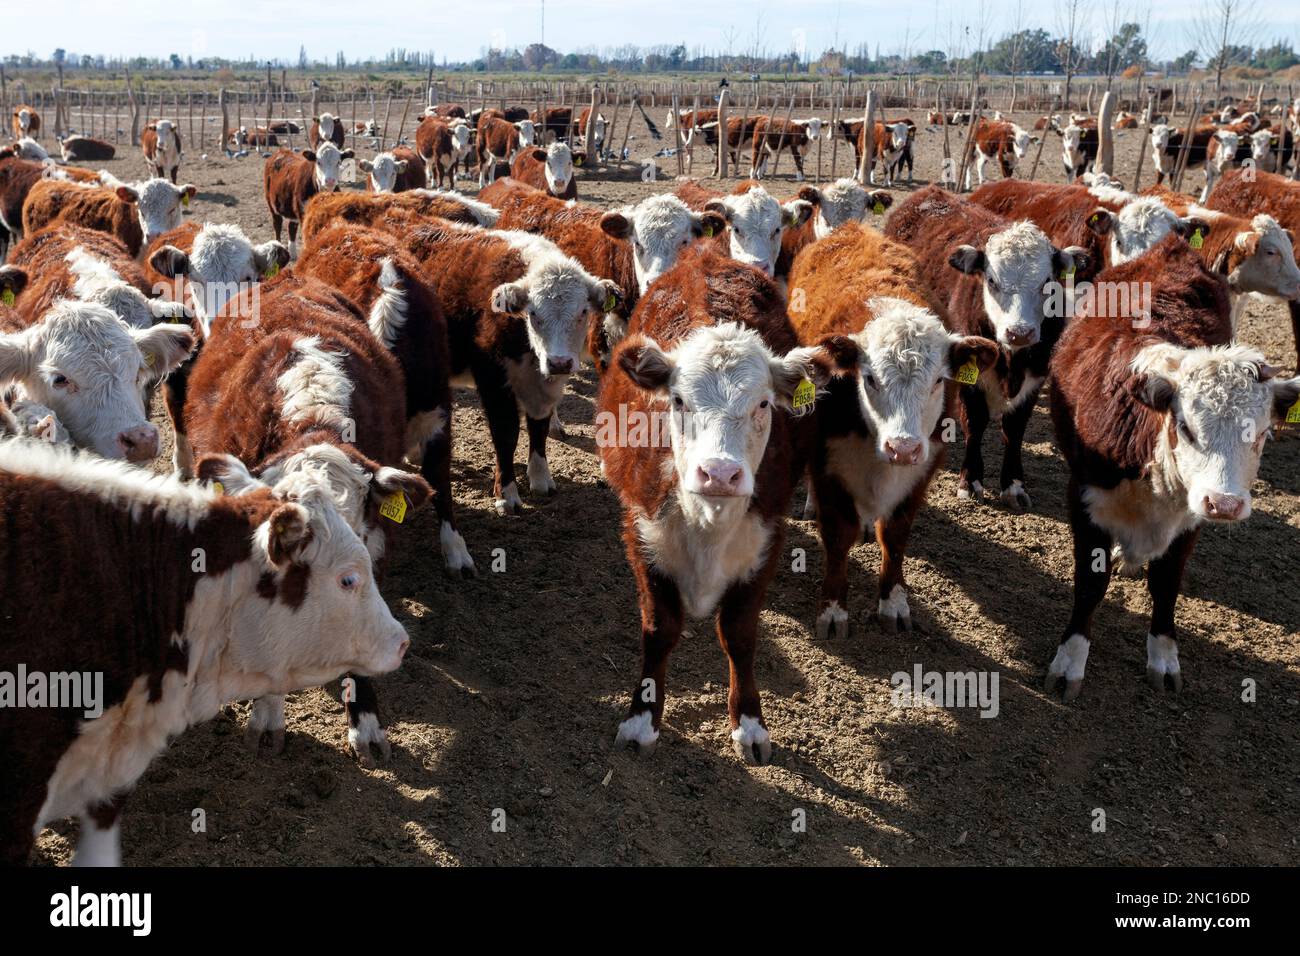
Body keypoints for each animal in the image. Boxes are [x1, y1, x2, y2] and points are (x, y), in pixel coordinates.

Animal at [600, 246, 827, 764]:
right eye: (679, 401)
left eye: (763, 404)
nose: (720, 474)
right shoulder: (641, 532)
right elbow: (659, 630)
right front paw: (642, 720)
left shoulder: (766, 538)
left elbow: (739, 635)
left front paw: (749, 723)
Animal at [787, 222, 998, 635]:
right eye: (869, 378)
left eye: (938, 381)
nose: (902, 447)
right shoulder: (826, 458)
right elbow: (838, 534)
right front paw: (833, 610)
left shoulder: (927, 460)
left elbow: (896, 534)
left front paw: (893, 602)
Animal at [885, 186, 1089, 508]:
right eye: (991, 280)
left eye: (1047, 281)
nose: (1019, 332)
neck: (1010, 361)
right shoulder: (969, 376)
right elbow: (976, 422)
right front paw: (970, 481)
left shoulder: (1035, 379)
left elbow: (1014, 429)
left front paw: (1014, 485)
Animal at [1046, 234, 1300, 700]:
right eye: (1186, 426)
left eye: (1261, 434)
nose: (1225, 504)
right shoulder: (1084, 497)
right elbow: (1090, 584)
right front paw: (1070, 661)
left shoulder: (1191, 515)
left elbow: (1166, 584)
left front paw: (1163, 658)